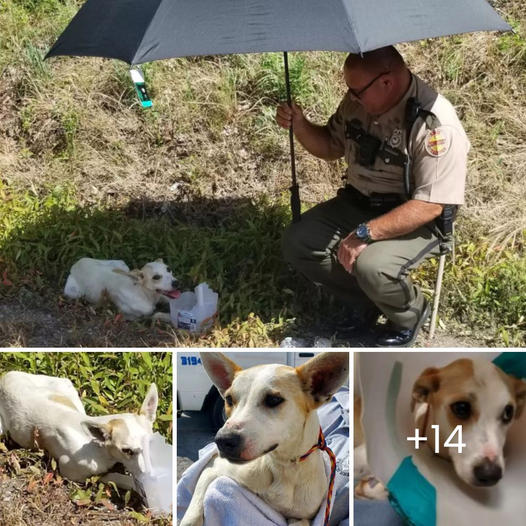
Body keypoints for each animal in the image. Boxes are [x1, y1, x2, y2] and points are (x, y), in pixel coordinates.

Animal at [0, 372, 159, 490]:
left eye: (151, 444)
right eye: (127, 451)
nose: (151, 475)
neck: (98, 446)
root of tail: (7, 376)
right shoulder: (70, 472)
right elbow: (115, 477)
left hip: (67, 389)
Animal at [182, 350, 350, 526]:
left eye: (273, 400)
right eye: (228, 399)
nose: (223, 440)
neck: (283, 468)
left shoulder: (302, 516)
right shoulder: (215, 469)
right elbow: (195, 503)